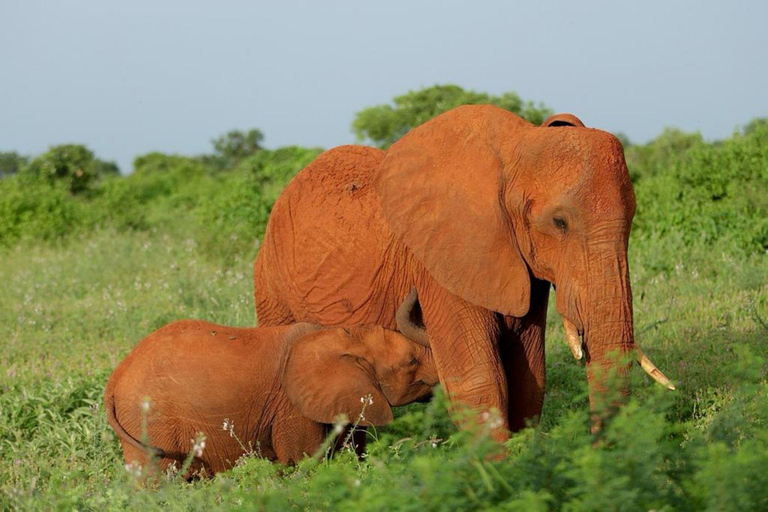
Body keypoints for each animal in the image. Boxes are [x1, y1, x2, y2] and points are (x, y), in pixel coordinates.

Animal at [105, 292, 436, 476]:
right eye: (411, 362)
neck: (339, 334)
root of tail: (116, 376)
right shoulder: (292, 407)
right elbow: (305, 461)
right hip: (150, 421)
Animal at [254, 105, 672, 440]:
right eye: (559, 223)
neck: (515, 152)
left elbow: (527, 376)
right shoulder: (440, 260)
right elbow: (480, 379)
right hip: (270, 284)